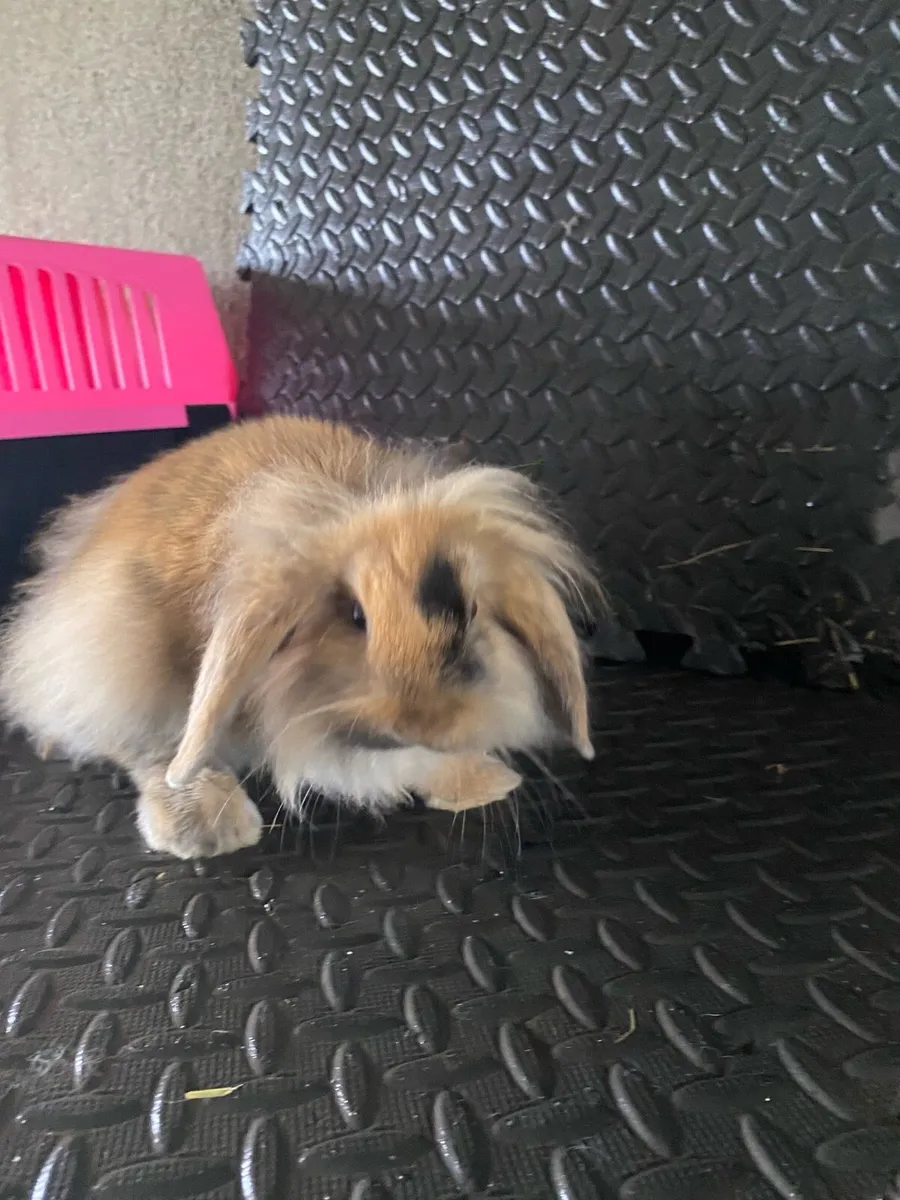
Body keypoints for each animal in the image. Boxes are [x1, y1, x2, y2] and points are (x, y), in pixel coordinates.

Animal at [0, 416, 599, 859]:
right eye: (355, 615)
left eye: (472, 611)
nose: (422, 722)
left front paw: (478, 780)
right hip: (111, 648)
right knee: (140, 743)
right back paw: (205, 827)